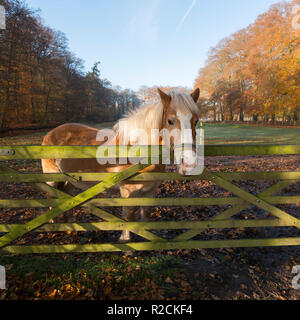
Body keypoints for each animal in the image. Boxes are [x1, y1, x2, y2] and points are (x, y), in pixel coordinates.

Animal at [41, 89, 202, 241]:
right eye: (170, 121)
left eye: (196, 121)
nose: (189, 163)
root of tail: (51, 133)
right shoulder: (127, 192)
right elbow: (128, 217)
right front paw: (125, 241)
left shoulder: (150, 191)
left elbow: (146, 215)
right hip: (52, 177)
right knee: (51, 194)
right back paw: (53, 223)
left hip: (70, 179)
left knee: (66, 195)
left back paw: (69, 221)